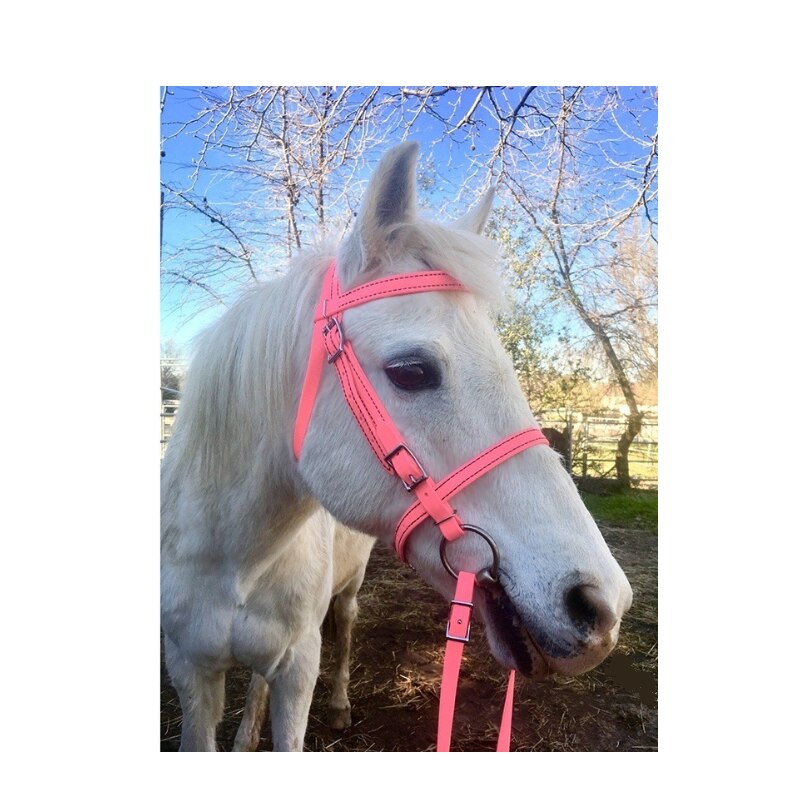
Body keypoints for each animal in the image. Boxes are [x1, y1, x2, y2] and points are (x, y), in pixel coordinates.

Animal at [160, 142, 633, 752]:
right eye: (412, 371)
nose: (602, 604)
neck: (235, 559)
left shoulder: (297, 668)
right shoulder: (190, 673)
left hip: (346, 595)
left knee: (343, 627)